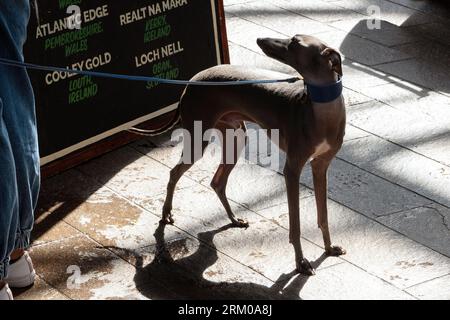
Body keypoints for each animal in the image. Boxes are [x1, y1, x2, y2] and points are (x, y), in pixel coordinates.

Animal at [160, 35, 346, 276]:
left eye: (294, 43)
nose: (260, 39)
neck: (321, 108)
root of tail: (192, 80)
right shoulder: (292, 170)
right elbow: (295, 225)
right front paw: (301, 262)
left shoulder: (320, 167)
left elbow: (323, 216)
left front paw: (329, 248)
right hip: (198, 140)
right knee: (174, 173)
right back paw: (166, 213)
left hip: (236, 139)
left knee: (217, 181)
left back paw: (233, 219)